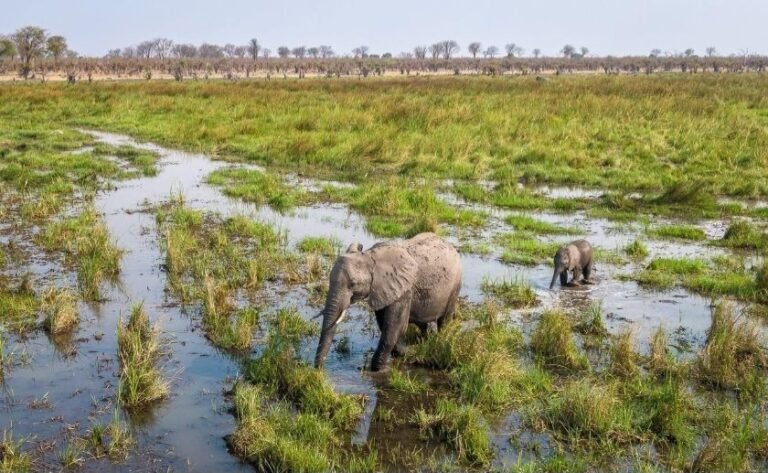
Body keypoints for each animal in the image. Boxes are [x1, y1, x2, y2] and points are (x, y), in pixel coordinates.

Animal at [314, 233, 462, 372]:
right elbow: (384, 323)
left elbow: (395, 326)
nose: (319, 370)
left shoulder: (403, 290)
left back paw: (439, 340)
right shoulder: (382, 290)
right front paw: (402, 354)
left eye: (353, 284)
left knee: (445, 319)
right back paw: (425, 341)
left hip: (455, 286)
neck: (369, 256)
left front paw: (379, 369)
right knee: (422, 322)